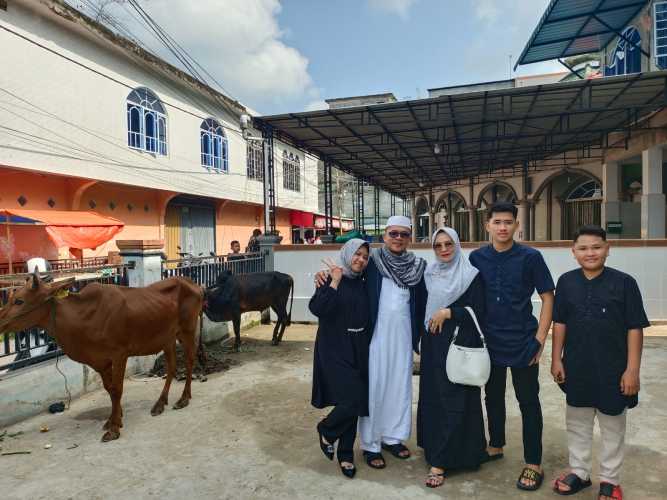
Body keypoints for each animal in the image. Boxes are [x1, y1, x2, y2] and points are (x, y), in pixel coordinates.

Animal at [0, 274, 204, 442]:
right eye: (10, 298)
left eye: (19, 301)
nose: (0, 321)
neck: (83, 317)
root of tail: (195, 284)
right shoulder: (100, 361)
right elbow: (110, 390)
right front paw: (115, 419)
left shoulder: (119, 354)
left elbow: (118, 389)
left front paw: (114, 429)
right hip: (167, 338)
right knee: (172, 367)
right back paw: (160, 403)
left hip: (187, 330)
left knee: (189, 360)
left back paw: (183, 399)